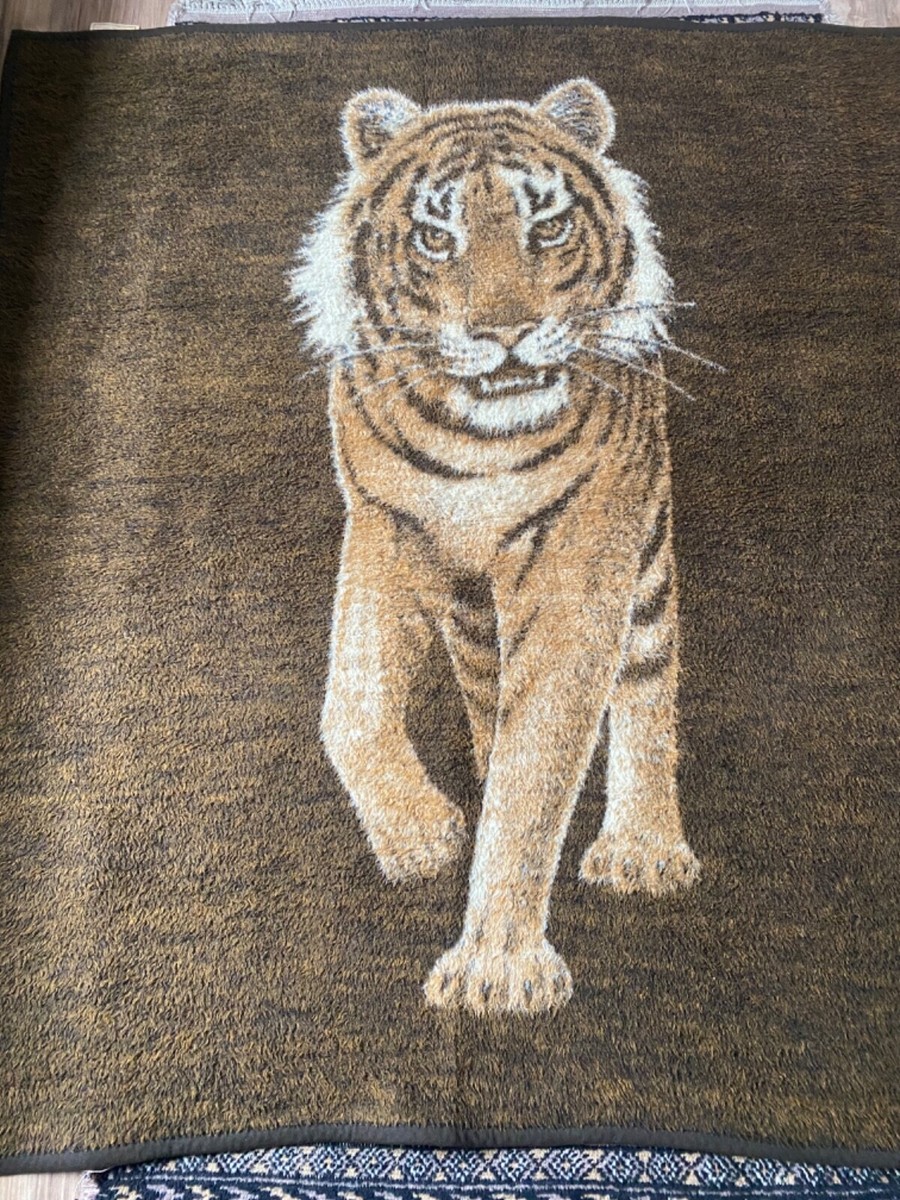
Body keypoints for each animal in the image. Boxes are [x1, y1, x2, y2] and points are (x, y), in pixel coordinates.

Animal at [289, 77, 700, 1015]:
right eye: (436, 238)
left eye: (545, 227)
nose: (506, 333)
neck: (477, 443)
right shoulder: (385, 527)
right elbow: (350, 706)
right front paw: (420, 836)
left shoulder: (584, 561)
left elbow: (534, 772)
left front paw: (498, 969)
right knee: (483, 680)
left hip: (646, 563)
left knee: (646, 687)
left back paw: (644, 848)